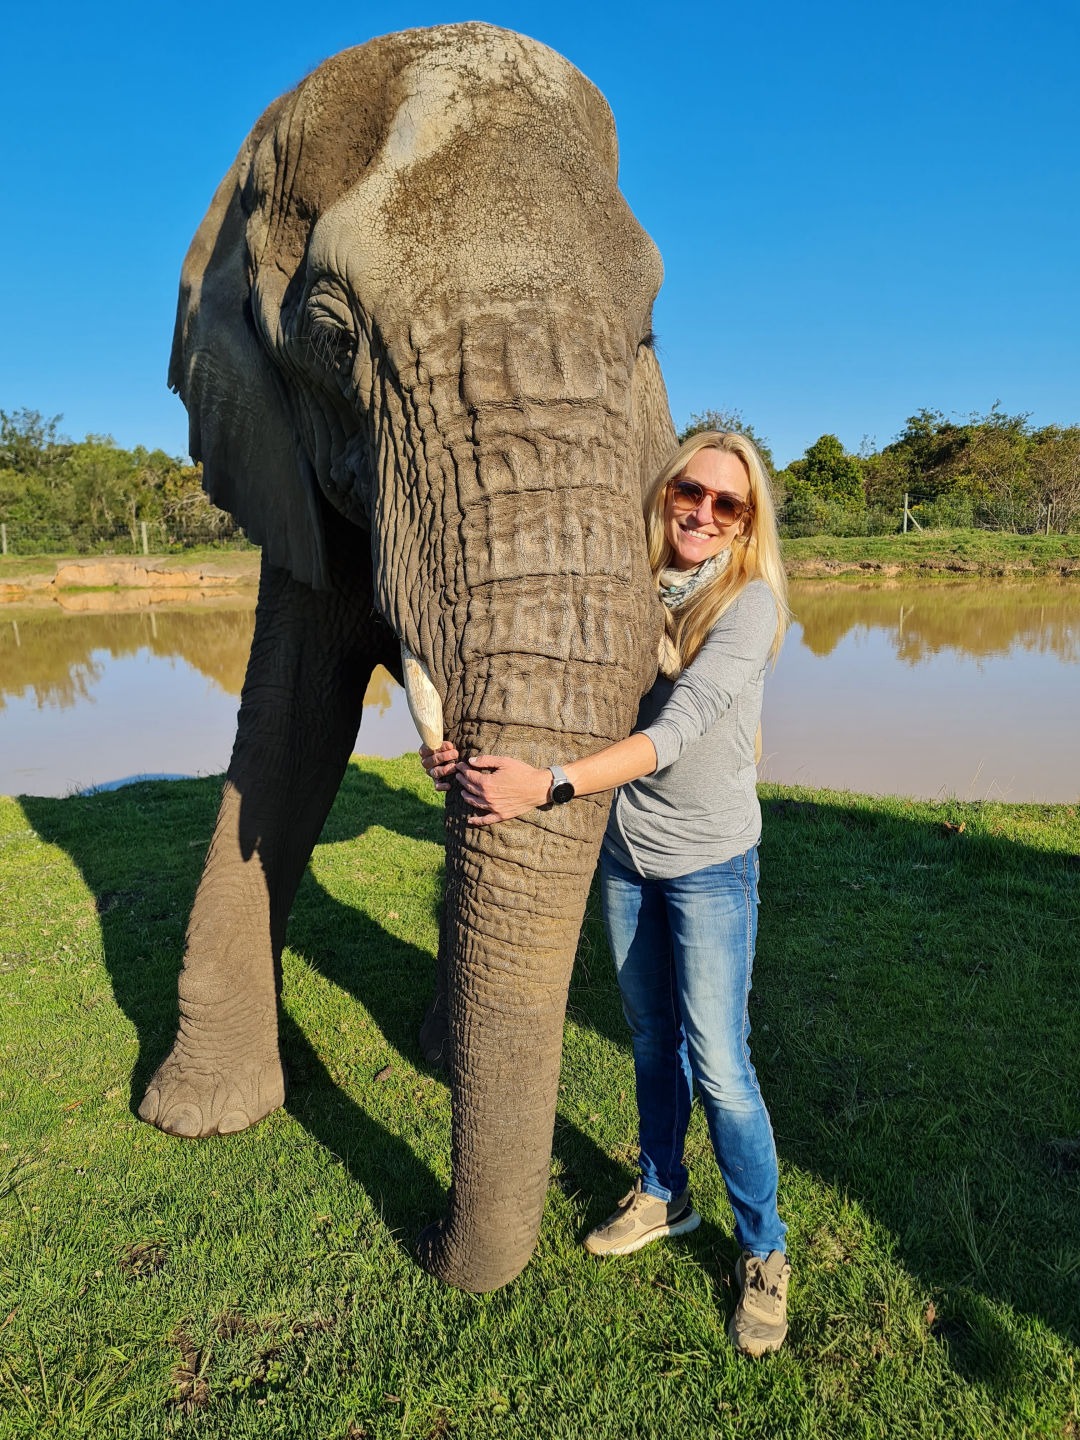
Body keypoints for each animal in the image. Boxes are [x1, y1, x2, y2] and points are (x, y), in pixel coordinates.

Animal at [138, 21, 676, 1293]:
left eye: (646, 337)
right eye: (335, 338)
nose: (429, 1240)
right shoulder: (279, 444)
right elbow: (290, 729)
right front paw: (198, 1118)